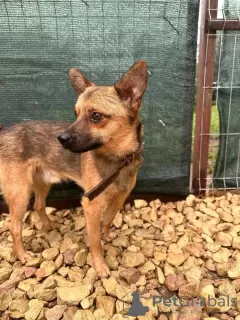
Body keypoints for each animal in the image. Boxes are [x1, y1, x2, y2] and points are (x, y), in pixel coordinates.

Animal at [0, 60, 148, 278]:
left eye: (96, 116)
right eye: (75, 114)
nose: (61, 139)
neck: (118, 159)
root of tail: (4, 132)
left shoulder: (120, 197)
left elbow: (108, 219)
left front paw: (108, 236)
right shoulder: (91, 205)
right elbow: (95, 242)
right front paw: (100, 266)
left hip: (41, 183)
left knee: (38, 206)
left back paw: (49, 225)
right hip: (19, 194)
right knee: (15, 228)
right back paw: (23, 255)